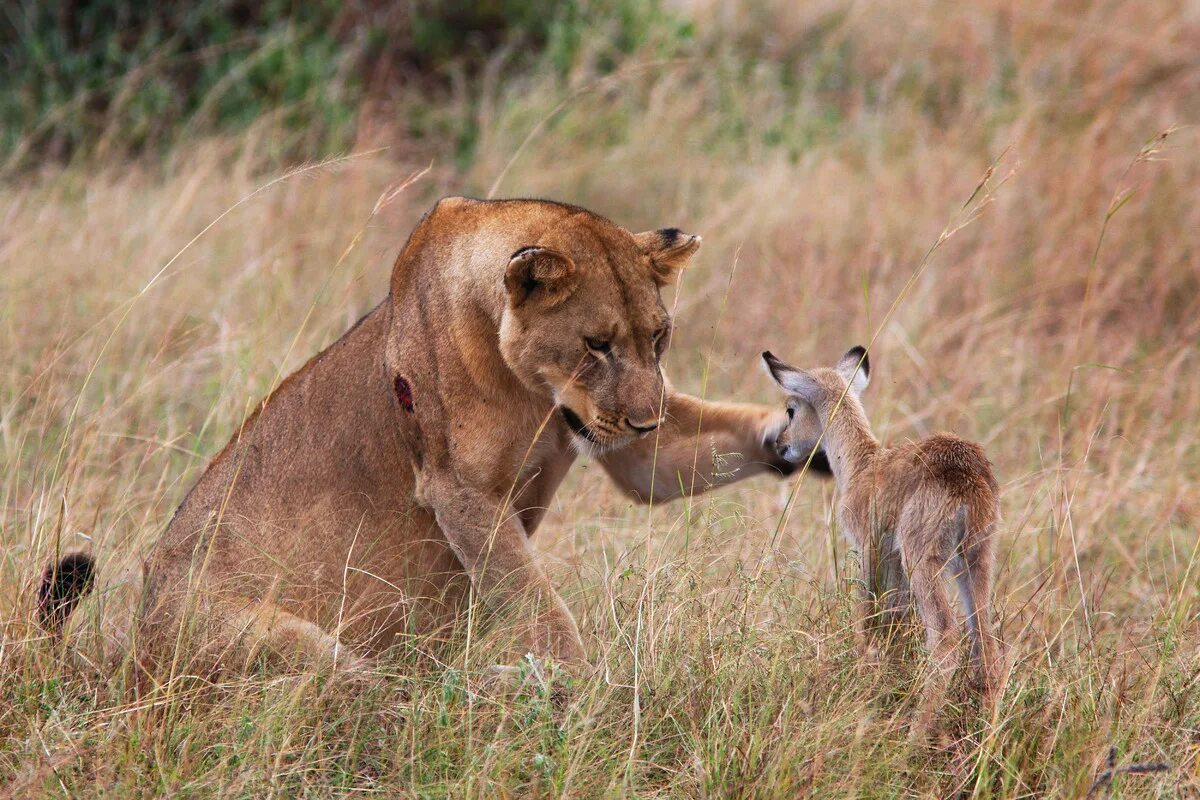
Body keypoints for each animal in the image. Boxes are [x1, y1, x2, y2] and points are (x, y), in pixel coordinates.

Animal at [763, 347, 998, 710]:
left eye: (791, 409)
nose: (780, 444)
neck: (862, 464)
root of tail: (967, 476)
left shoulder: (869, 548)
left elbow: (868, 617)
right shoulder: (894, 561)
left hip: (925, 562)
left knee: (945, 638)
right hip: (977, 560)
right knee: (987, 645)